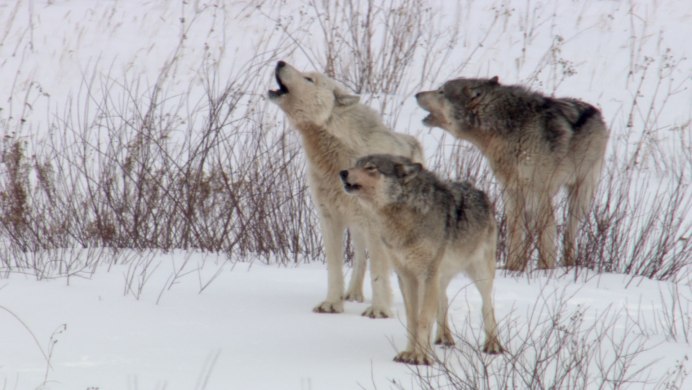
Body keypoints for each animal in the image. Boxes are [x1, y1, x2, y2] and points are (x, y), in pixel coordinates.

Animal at [268, 60, 424, 316]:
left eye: (309, 79)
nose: (280, 62)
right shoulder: (329, 217)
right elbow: (335, 267)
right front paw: (332, 304)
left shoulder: (375, 224)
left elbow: (379, 271)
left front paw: (379, 311)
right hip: (357, 226)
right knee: (361, 258)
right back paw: (354, 294)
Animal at [340, 154, 502, 364]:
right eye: (355, 165)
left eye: (370, 168)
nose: (342, 172)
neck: (403, 217)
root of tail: (480, 192)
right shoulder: (406, 276)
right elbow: (413, 319)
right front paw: (409, 353)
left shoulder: (427, 274)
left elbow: (424, 318)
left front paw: (420, 357)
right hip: (440, 277)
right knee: (444, 300)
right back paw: (444, 338)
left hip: (480, 274)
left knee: (487, 306)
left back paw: (493, 345)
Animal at [416, 76, 604, 272]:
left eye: (441, 91)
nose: (417, 94)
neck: (506, 128)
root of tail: (596, 112)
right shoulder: (511, 192)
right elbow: (514, 233)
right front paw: (512, 268)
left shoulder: (540, 192)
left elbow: (546, 233)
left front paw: (545, 270)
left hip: (579, 196)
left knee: (569, 233)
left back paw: (569, 266)